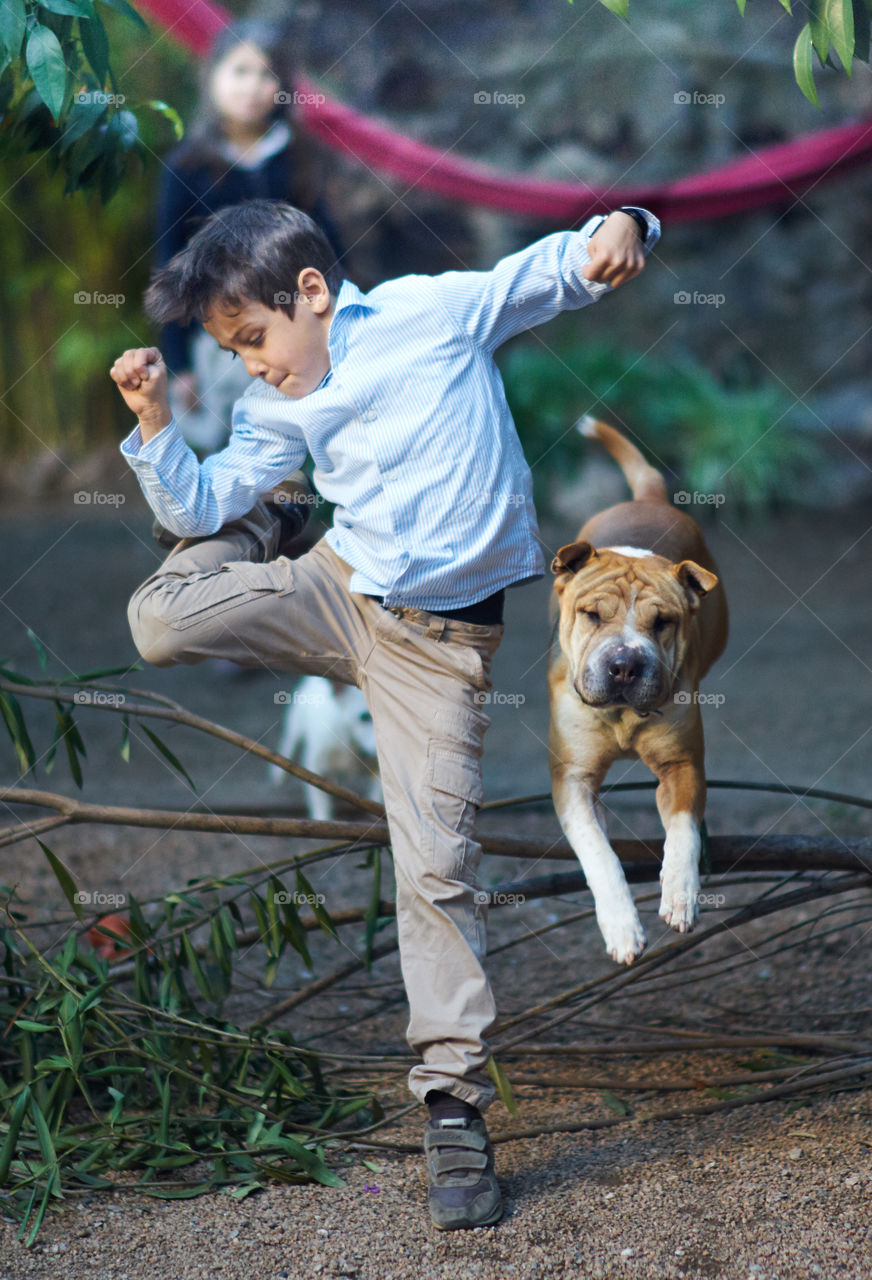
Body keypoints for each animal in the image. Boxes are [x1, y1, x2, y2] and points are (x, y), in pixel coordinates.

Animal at [268, 670, 381, 819]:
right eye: (364, 717)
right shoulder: (315, 768)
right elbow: (321, 804)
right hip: (296, 724)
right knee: (288, 742)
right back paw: (278, 773)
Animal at [550, 417, 727, 962]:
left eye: (663, 622)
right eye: (591, 614)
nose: (625, 665)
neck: (622, 716)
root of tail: (646, 498)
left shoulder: (681, 765)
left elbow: (683, 831)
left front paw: (680, 893)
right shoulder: (573, 780)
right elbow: (598, 854)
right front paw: (622, 927)